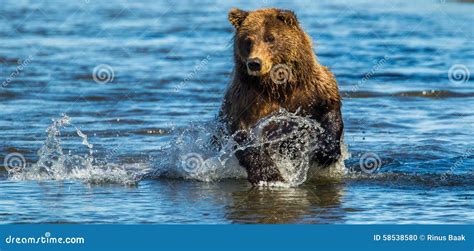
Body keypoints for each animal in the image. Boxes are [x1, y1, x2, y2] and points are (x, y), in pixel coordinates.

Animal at [218, 8, 344, 184]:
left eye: (270, 38)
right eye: (248, 41)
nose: (255, 63)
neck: (279, 86)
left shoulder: (313, 89)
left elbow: (330, 111)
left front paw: (326, 153)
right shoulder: (248, 98)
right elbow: (244, 132)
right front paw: (269, 174)